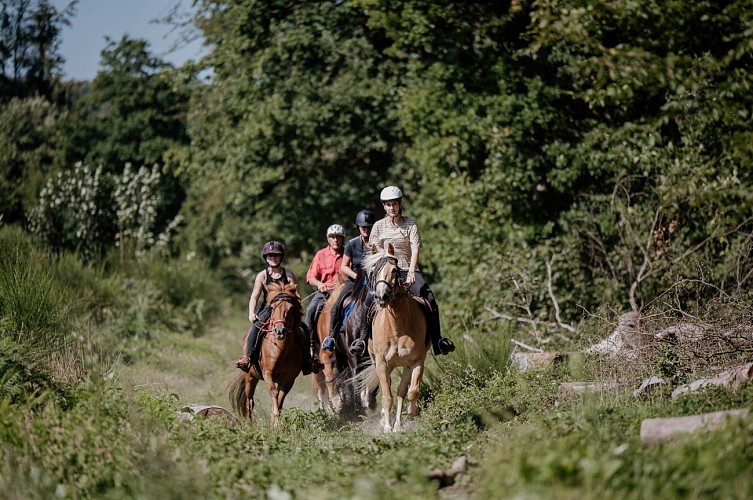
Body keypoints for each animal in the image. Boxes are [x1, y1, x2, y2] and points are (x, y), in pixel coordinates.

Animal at [228, 282, 304, 426]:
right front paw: (276, 422)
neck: (280, 351)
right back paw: (249, 424)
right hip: (250, 377)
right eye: (272, 308)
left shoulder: (288, 379)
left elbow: (279, 400)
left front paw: (274, 423)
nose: (280, 331)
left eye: (291, 308)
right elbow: (274, 393)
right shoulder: (268, 373)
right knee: (249, 401)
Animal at [356, 244, 426, 432]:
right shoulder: (381, 362)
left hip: (405, 365)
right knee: (386, 386)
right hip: (378, 361)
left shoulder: (416, 360)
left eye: (394, 270)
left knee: (402, 391)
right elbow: (387, 395)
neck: (396, 328)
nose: (381, 297)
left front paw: (410, 413)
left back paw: (399, 424)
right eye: (374, 271)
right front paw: (387, 428)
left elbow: (411, 391)